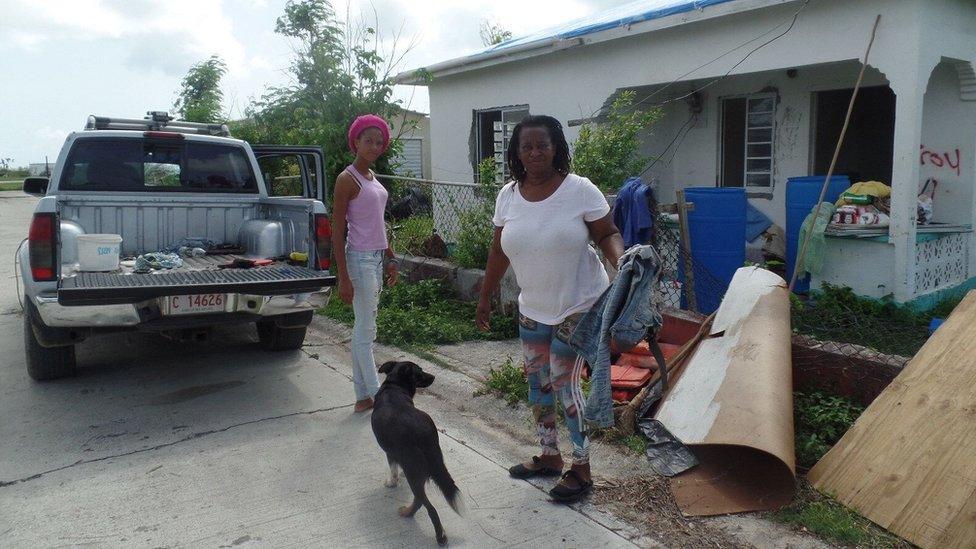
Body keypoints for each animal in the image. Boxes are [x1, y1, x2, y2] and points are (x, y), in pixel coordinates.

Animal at [370, 360, 462, 544]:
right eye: (420, 371)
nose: (434, 376)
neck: (395, 385)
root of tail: (423, 434)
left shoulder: (390, 452)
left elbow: (393, 469)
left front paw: (392, 482)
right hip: (433, 461)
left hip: (414, 472)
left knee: (425, 504)